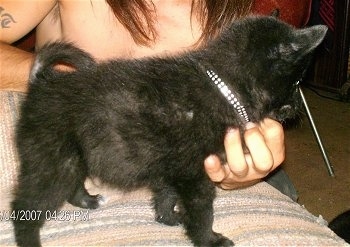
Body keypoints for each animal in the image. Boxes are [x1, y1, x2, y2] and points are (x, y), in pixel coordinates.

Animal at [12, 16, 326, 246]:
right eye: (297, 82)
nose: (299, 106)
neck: (225, 87)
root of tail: (42, 81)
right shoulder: (196, 176)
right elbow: (202, 212)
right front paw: (209, 239)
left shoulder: (173, 167)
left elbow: (166, 194)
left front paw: (167, 218)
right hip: (52, 161)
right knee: (24, 208)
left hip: (73, 157)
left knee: (72, 184)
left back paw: (87, 200)